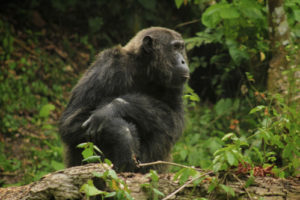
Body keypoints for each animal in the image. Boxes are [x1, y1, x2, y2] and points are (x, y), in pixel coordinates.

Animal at [59, 26, 190, 173]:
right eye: (174, 48)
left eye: (181, 47)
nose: (183, 61)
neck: (144, 68)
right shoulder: (107, 66)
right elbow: (72, 121)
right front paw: (123, 134)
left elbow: (175, 119)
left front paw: (114, 107)